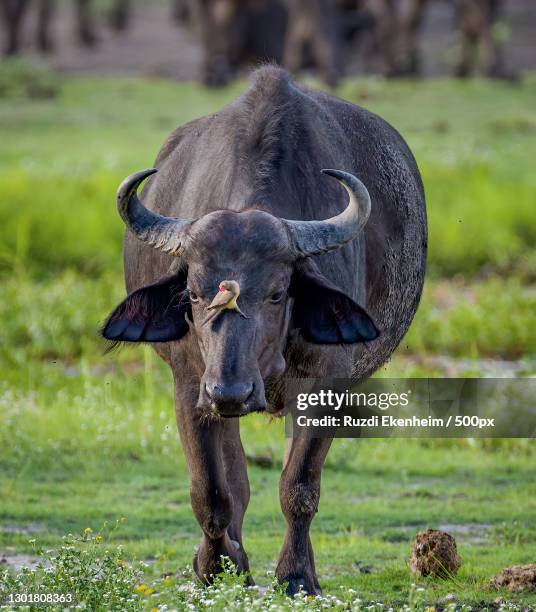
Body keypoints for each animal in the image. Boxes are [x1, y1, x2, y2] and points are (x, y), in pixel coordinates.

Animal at [102, 65, 426, 592]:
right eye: (193, 294)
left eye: (277, 293)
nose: (231, 391)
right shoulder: (191, 384)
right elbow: (212, 489)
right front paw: (215, 565)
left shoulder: (324, 384)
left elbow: (299, 485)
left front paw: (295, 574)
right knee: (235, 479)